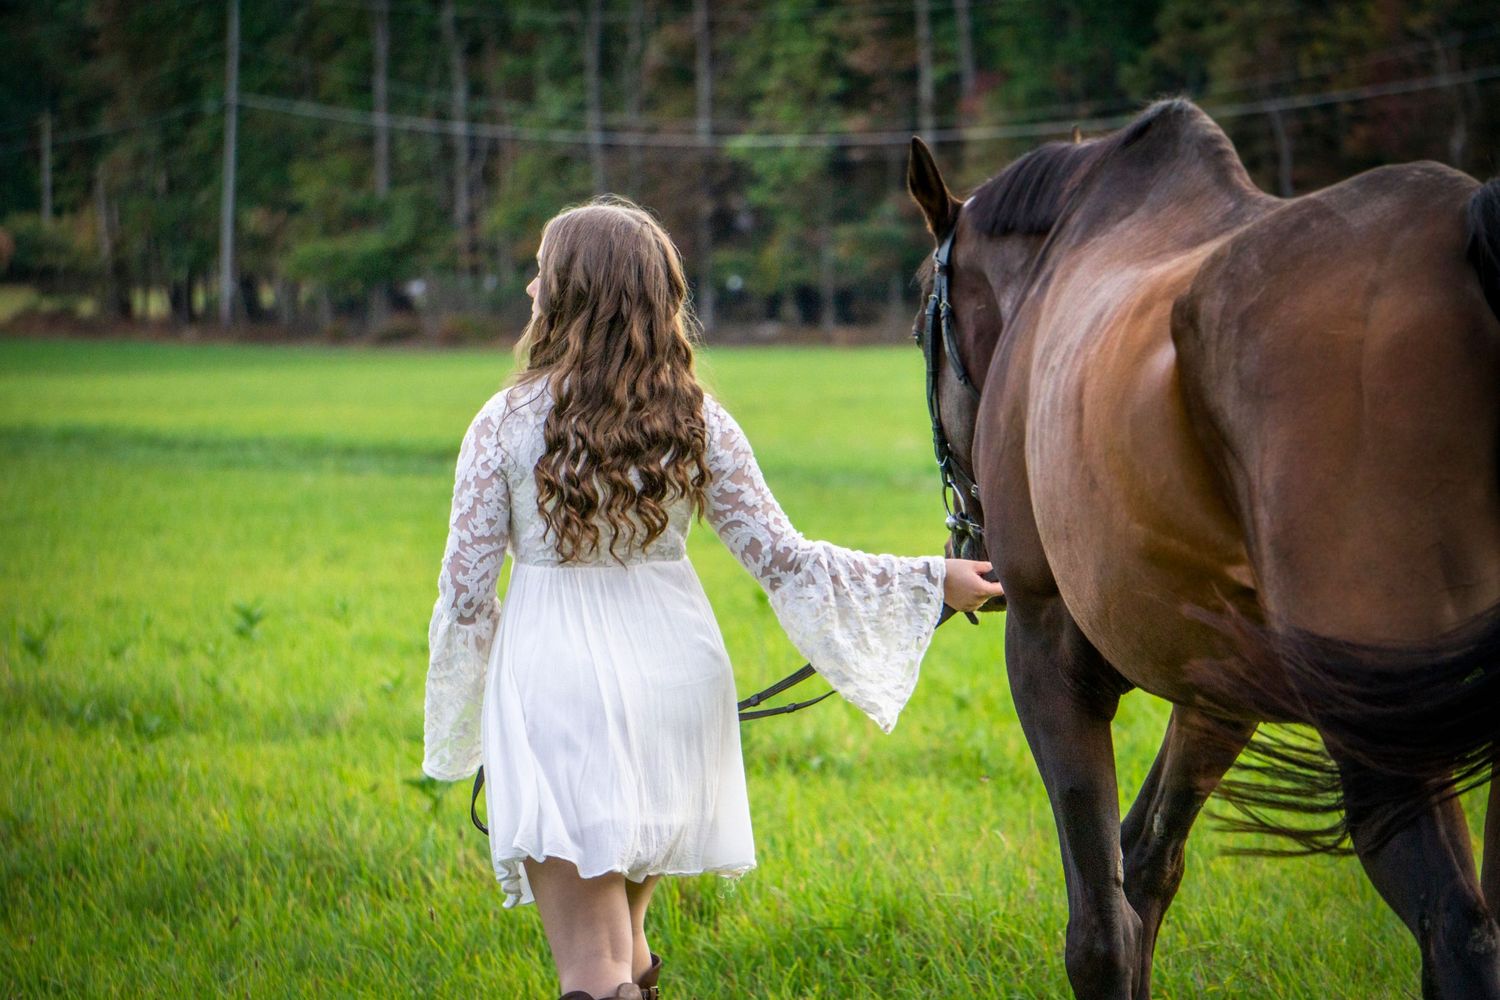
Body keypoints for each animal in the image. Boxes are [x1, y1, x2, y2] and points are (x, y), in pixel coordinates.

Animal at [905, 98, 1500, 999]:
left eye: (918, 328)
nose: (966, 536)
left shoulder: (1045, 647)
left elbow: (1101, 927)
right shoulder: (1220, 683)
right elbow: (1147, 859)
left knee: (1457, 932)